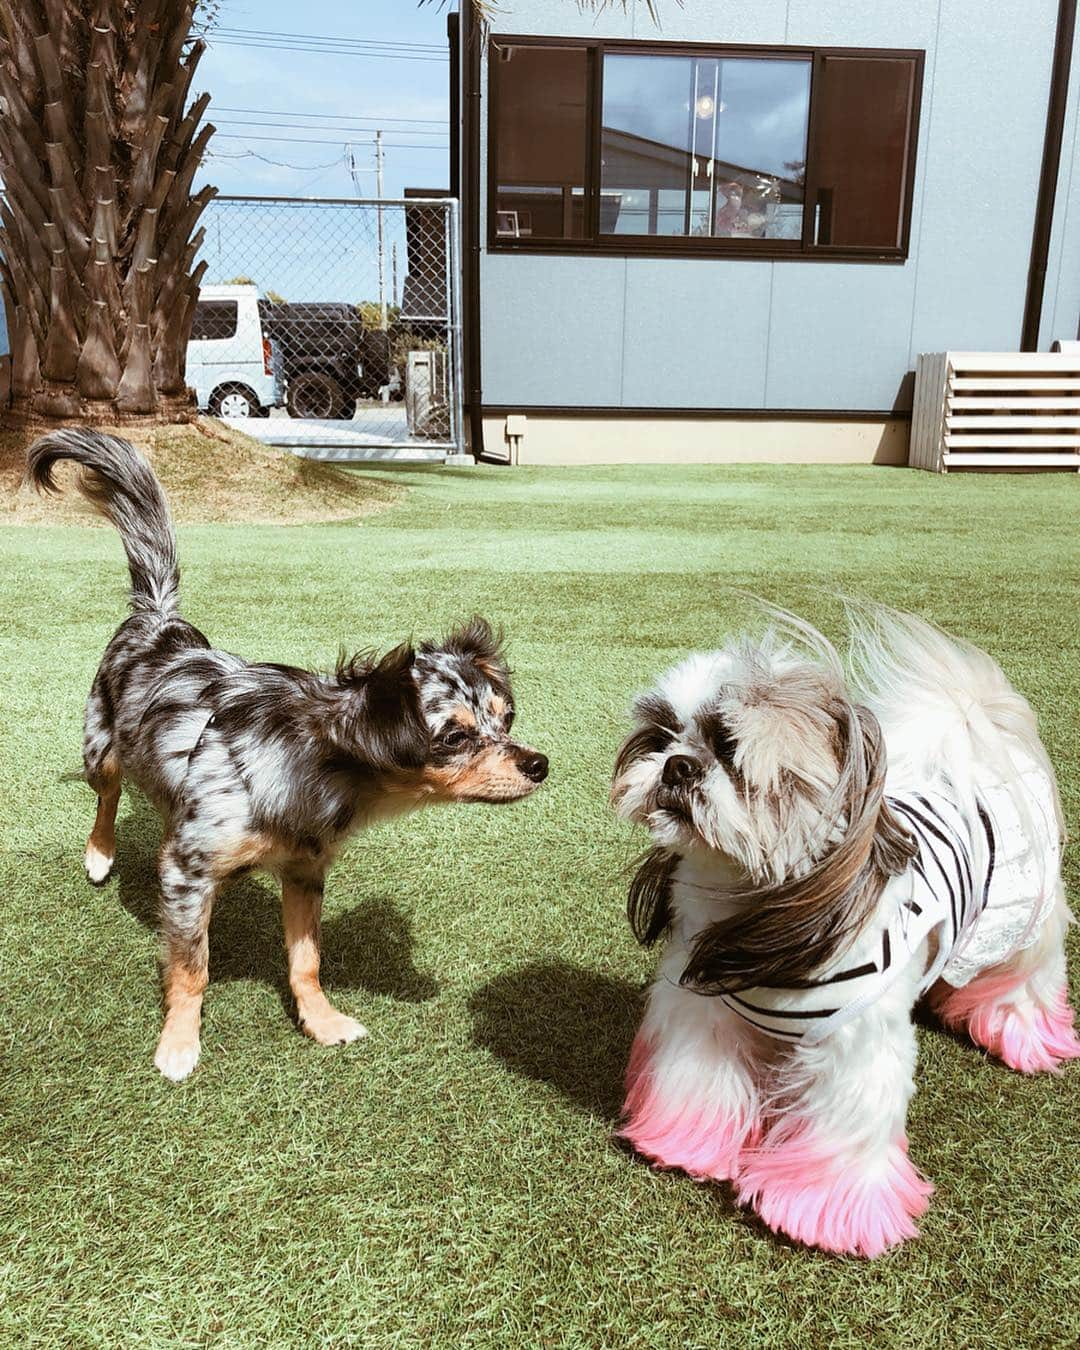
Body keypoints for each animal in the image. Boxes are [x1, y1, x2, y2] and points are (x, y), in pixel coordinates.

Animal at [29, 426, 548, 1080]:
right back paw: (99, 855)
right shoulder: (187, 874)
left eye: (505, 719)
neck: (315, 768)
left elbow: (306, 961)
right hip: (101, 749)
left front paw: (320, 1021)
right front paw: (178, 1042)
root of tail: (160, 619)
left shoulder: (305, 872)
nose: (539, 764)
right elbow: (192, 968)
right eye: (454, 737)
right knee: (107, 797)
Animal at [612, 607, 1074, 1258]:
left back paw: (1025, 1038)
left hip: (1022, 927)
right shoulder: (704, 1014)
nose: (678, 764)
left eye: (730, 749)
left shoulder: (853, 1052)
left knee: (1025, 983)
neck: (754, 910)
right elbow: (700, 1081)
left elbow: (840, 1131)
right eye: (660, 736)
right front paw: (684, 1146)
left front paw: (821, 1216)